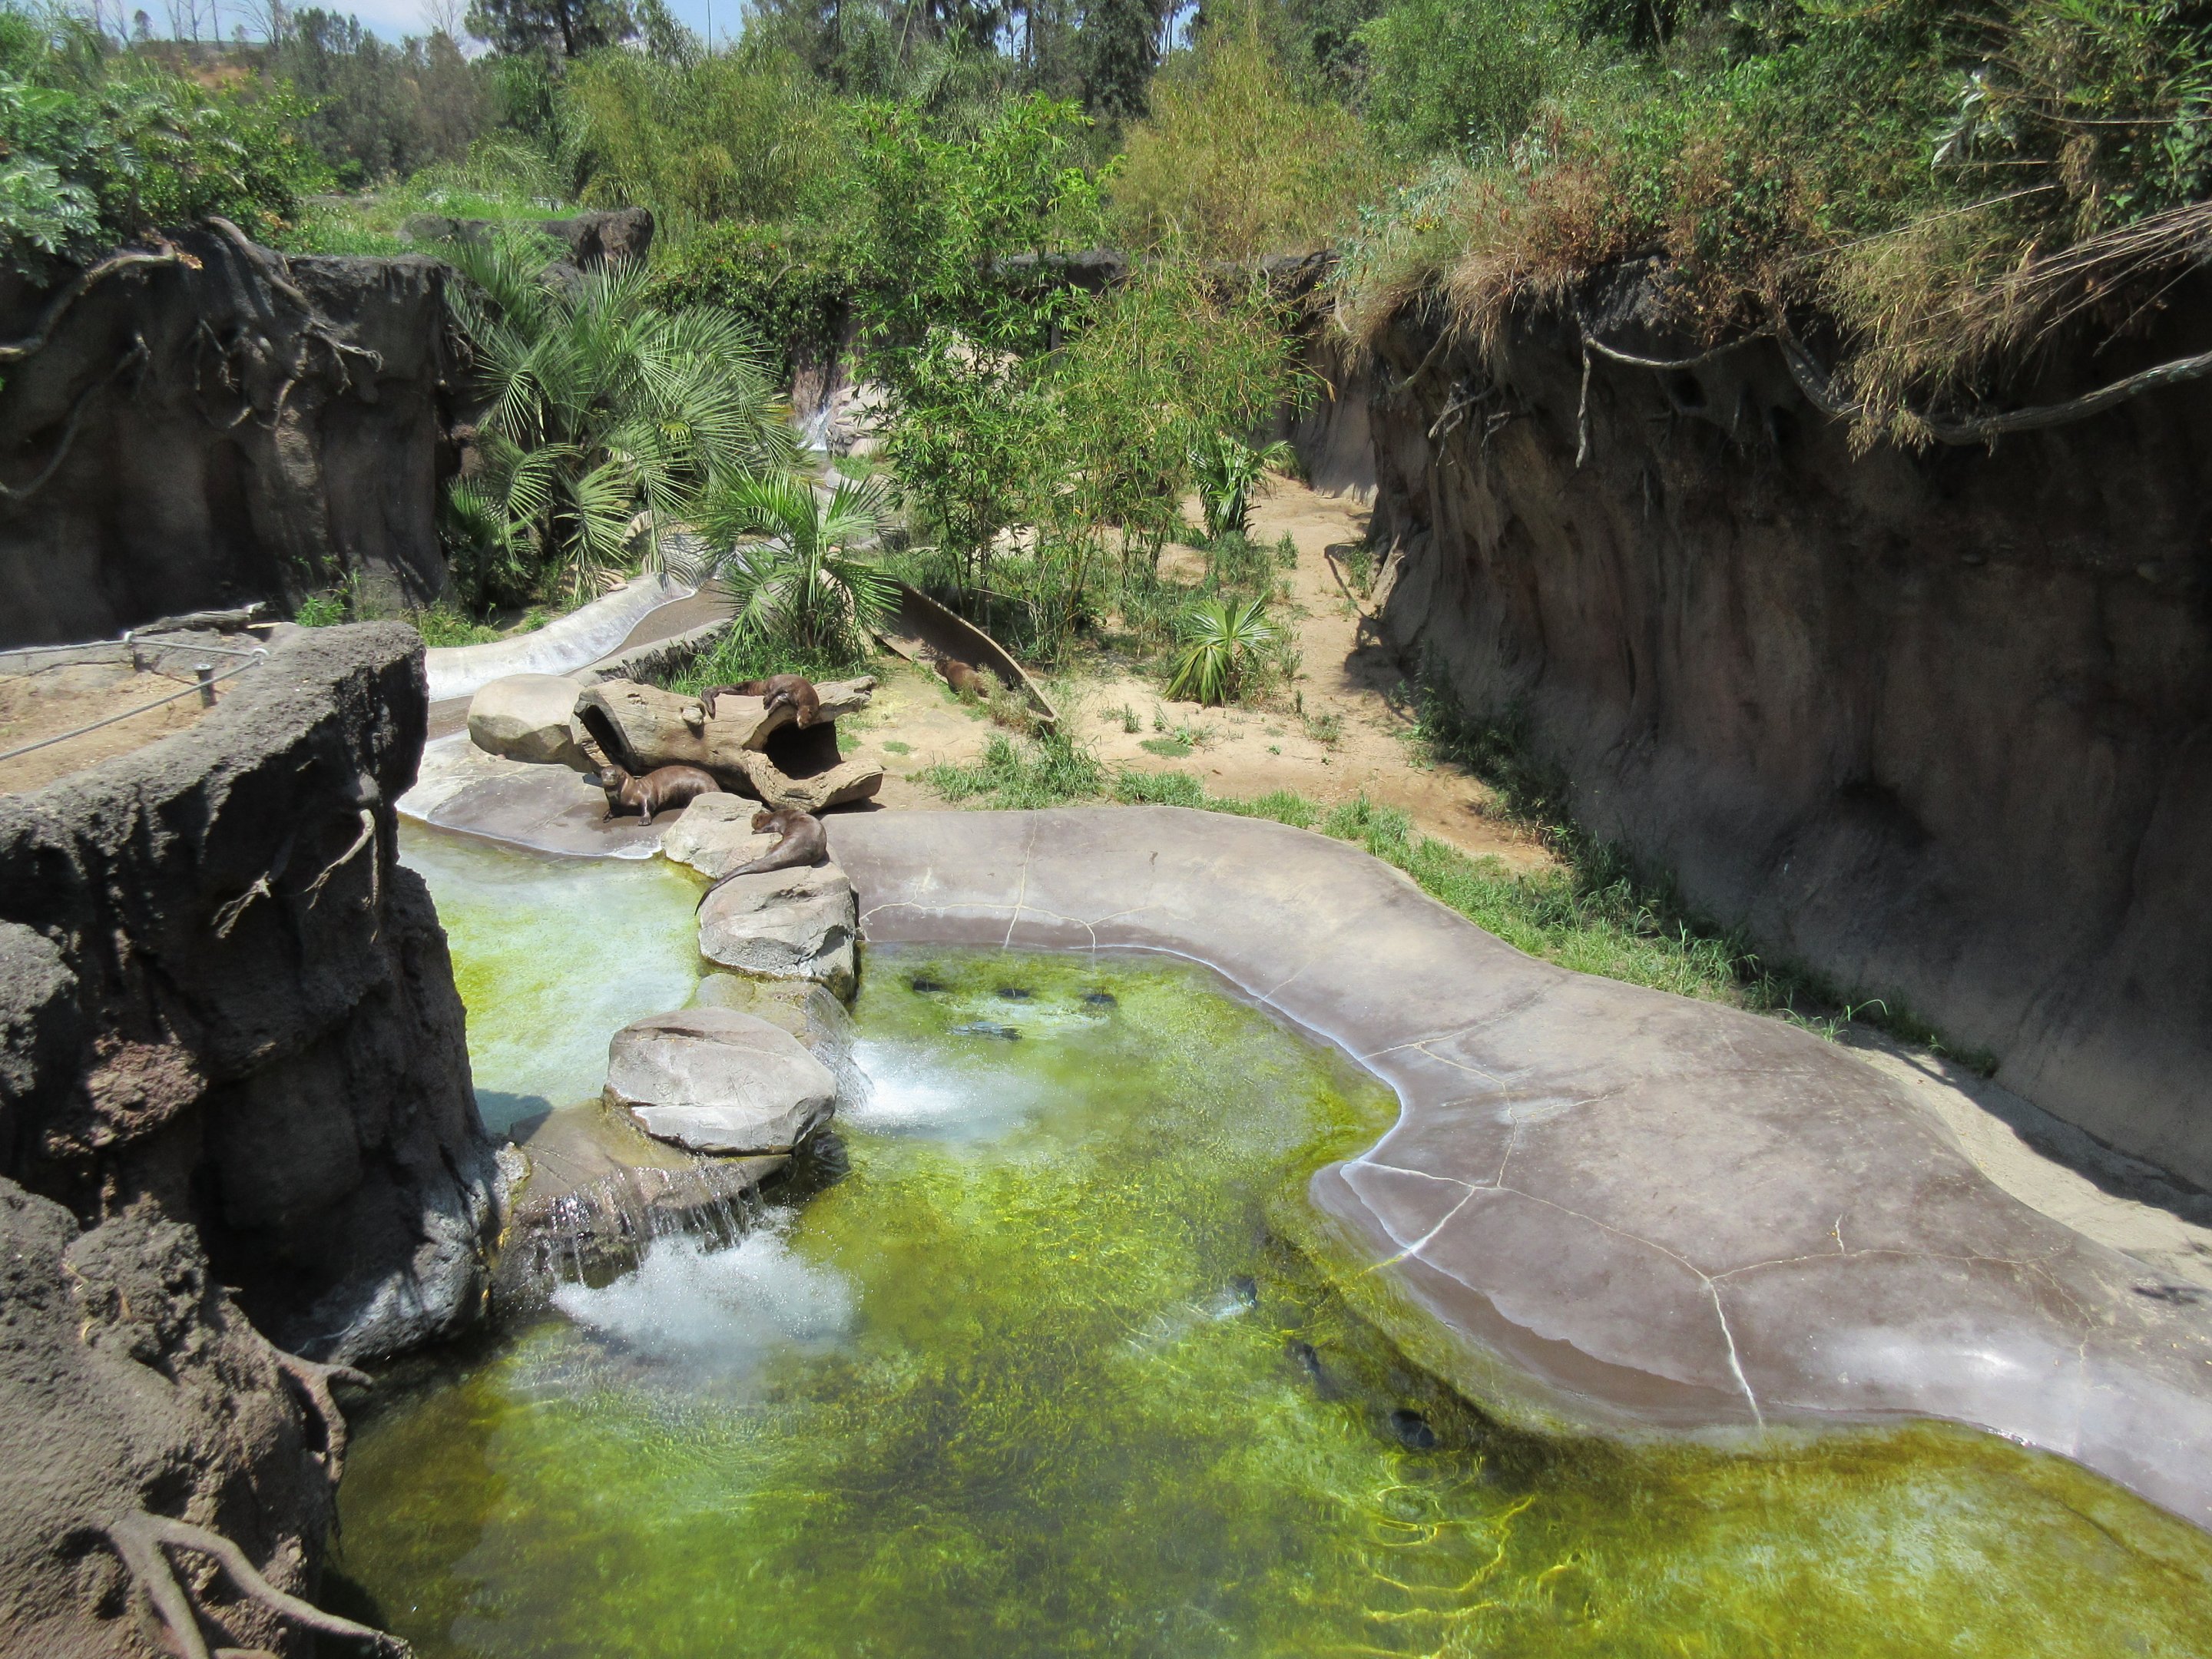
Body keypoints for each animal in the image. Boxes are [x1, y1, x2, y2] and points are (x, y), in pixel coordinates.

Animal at [598, 764, 722, 824]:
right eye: (604, 774)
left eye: (616, 775)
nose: (609, 778)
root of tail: (714, 783)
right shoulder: (614, 804)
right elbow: (613, 810)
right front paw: (606, 815)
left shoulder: (645, 794)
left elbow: (648, 805)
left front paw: (644, 820)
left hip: (703, 786)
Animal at [695, 806, 828, 909]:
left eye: (755, 818)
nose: (754, 815)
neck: (771, 815)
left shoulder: (775, 821)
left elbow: (768, 828)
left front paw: (755, 832)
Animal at [701, 674, 823, 727]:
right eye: (804, 721)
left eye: (807, 724)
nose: (801, 726)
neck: (801, 692)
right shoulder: (788, 684)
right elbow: (775, 691)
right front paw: (766, 701)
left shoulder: (788, 696)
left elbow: (779, 700)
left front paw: (770, 711)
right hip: (744, 683)